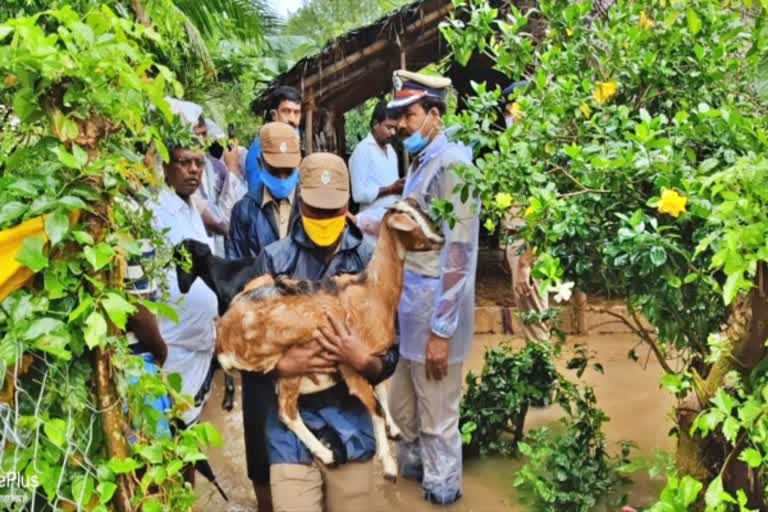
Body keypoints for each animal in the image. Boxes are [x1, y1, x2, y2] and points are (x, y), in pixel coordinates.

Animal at [216, 201, 444, 480]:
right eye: (409, 221)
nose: (440, 238)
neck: (373, 293)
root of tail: (223, 333)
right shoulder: (350, 366)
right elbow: (375, 407)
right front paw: (389, 466)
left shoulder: (374, 357)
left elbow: (381, 386)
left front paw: (394, 429)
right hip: (290, 359)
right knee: (286, 412)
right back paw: (326, 454)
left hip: (262, 281)